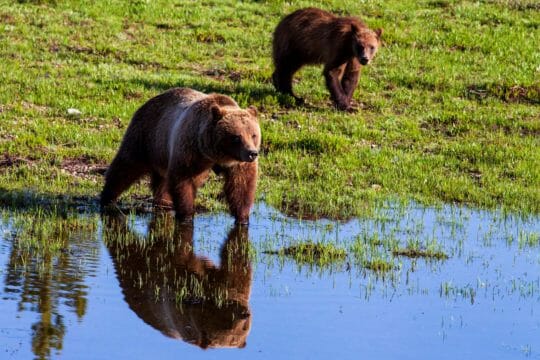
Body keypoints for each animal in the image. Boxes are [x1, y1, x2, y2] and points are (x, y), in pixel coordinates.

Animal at [103, 87, 262, 224]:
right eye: (236, 137)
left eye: (253, 135)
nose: (252, 153)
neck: (215, 155)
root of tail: (148, 101)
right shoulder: (190, 150)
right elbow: (183, 180)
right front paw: (186, 215)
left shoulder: (238, 164)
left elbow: (241, 185)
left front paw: (242, 218)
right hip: (145, 136)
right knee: (126, 165)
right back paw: (107, 197)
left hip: (161, 152)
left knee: (161, 180)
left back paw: (164, 202)